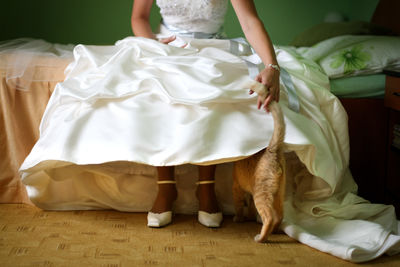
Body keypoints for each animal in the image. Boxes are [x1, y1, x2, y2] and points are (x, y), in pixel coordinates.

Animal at [233, 100, 286, 243]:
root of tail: (272, 151)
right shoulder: (248, 193)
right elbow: (250, 208)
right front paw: (249, 217)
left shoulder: (237, 188)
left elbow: (239, 206)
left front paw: (238, 218)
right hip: (278, 195)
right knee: (279, 216)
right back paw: (274, 232)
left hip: (261, 194)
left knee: (269, 217)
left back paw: (261, 238)